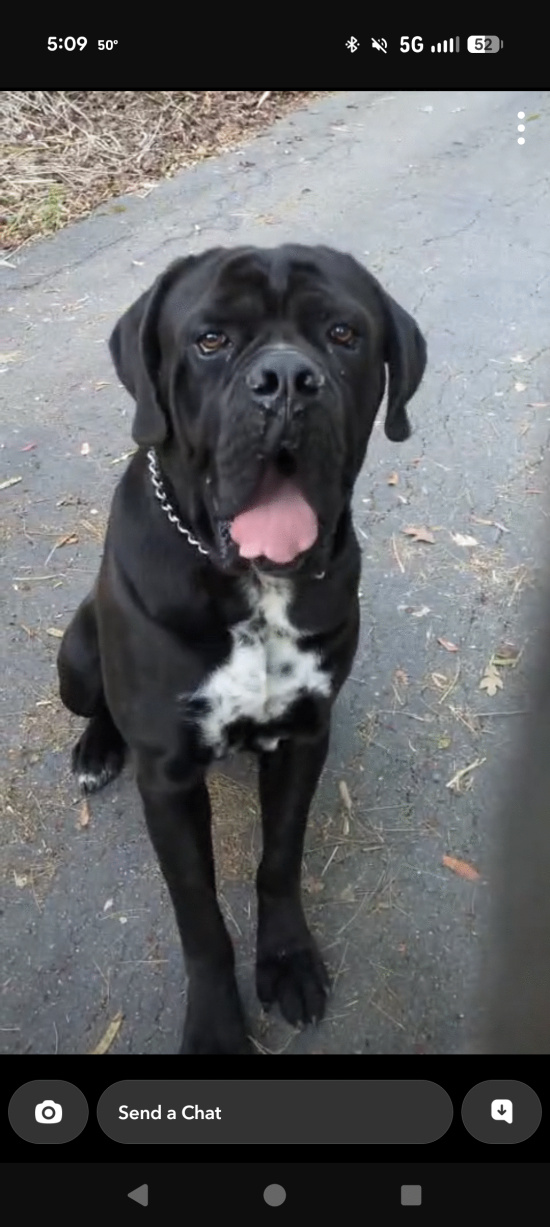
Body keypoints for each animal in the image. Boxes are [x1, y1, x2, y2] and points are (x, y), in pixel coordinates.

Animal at [57, 244, 427, 1054]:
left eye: (344, 334)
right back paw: (97, 750)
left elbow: (279, 860)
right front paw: (218, 1024)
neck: (255, 588)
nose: (287, 379)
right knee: (96, 702)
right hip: (76, 656)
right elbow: (199, 915)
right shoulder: (167, 778)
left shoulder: (303, 737)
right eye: (210, 340)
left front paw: (287, 960)